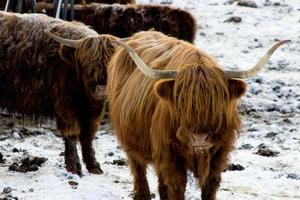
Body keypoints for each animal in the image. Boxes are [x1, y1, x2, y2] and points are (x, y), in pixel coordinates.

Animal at [0, 11, 120, 176]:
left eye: (111, 65)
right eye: (87, 66)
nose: (102, 89)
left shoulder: (93, 110)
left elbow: (88, 137)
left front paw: (94, 166)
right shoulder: (65, 105)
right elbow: (71, 134)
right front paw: (74, 167)